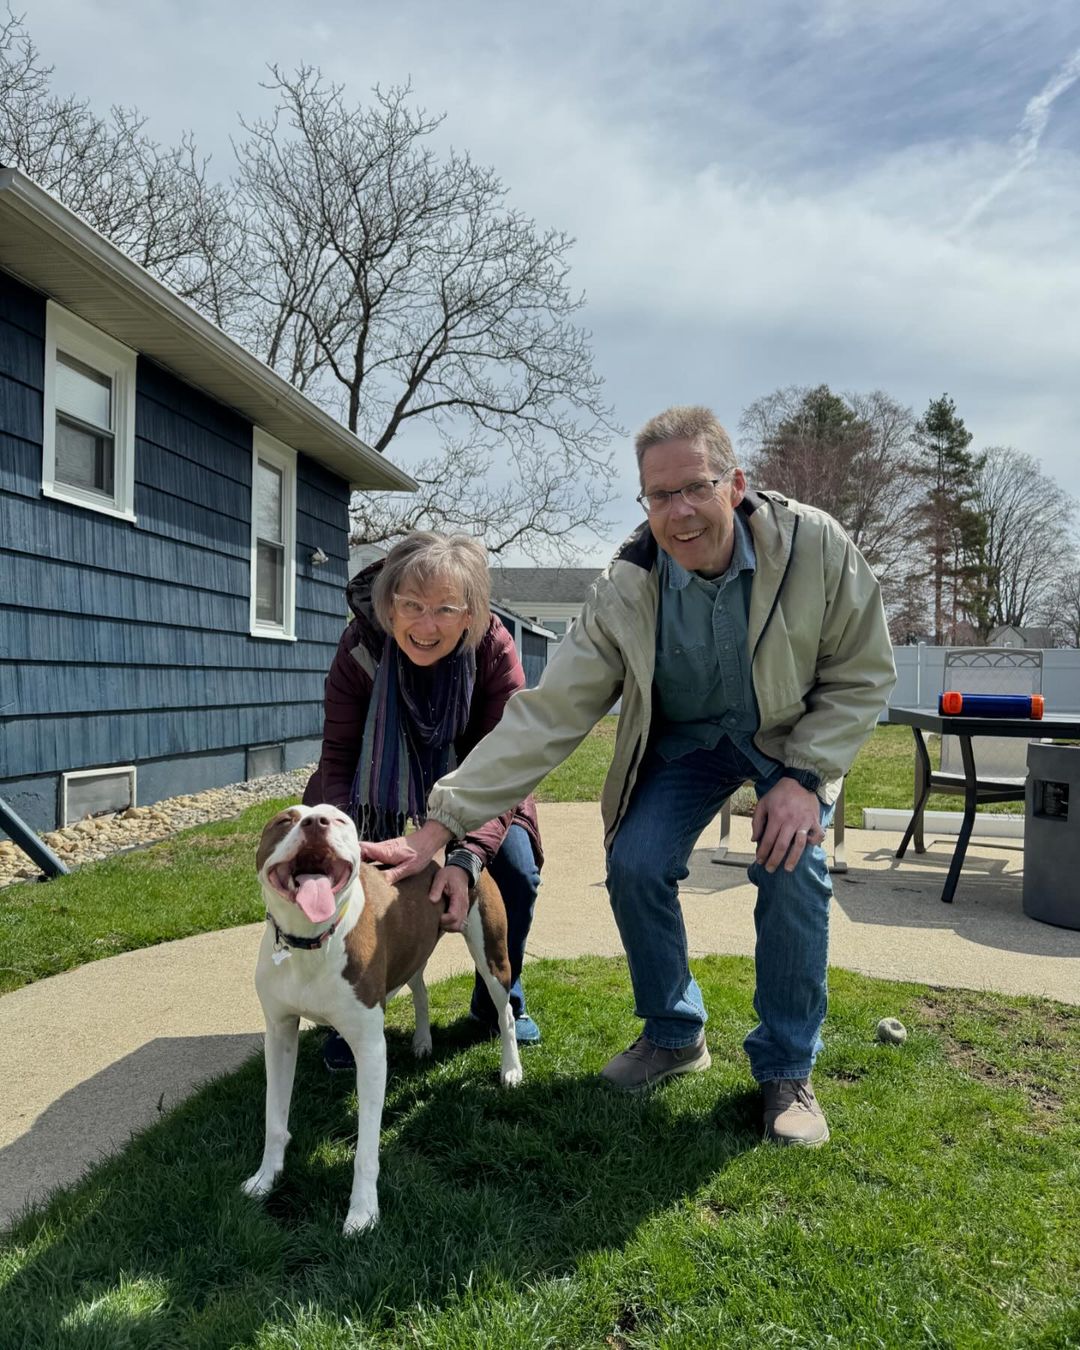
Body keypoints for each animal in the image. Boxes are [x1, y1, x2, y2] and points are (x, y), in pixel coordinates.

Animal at [243, 799, 521, 1236]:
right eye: (285, 820)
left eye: (340, 820)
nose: (316, 822)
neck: (311, 942)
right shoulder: (280, 1034)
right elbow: (274, 1118)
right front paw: (265, 1179)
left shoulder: (371, 1052)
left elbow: (366, 1149)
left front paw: (362, 1213)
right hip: (413, 949)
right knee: (420, 988)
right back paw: (423, 1041)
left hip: (491, 955)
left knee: (504, 1011)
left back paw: (511, 1069)